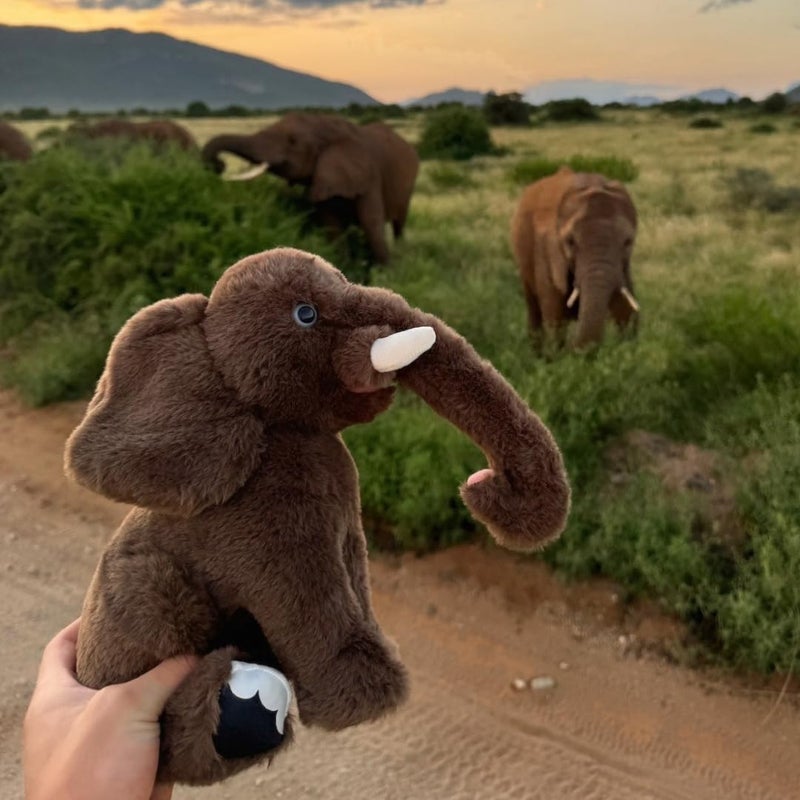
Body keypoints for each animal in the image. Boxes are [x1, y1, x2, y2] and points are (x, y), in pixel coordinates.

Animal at [201, 113, 419, 264]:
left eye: (292, 141)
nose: (219, 164)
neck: (324, 124)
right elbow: (332, 226)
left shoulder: (369, 175)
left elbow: (371, 223)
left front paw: (386, 275)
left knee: (399, 223)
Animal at [511, 166, 640, 348]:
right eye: (570, 242)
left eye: (628, 242)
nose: (575, 348)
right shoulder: (547, 250)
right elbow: (555, 317)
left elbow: (625, 310)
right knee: (534, 310)